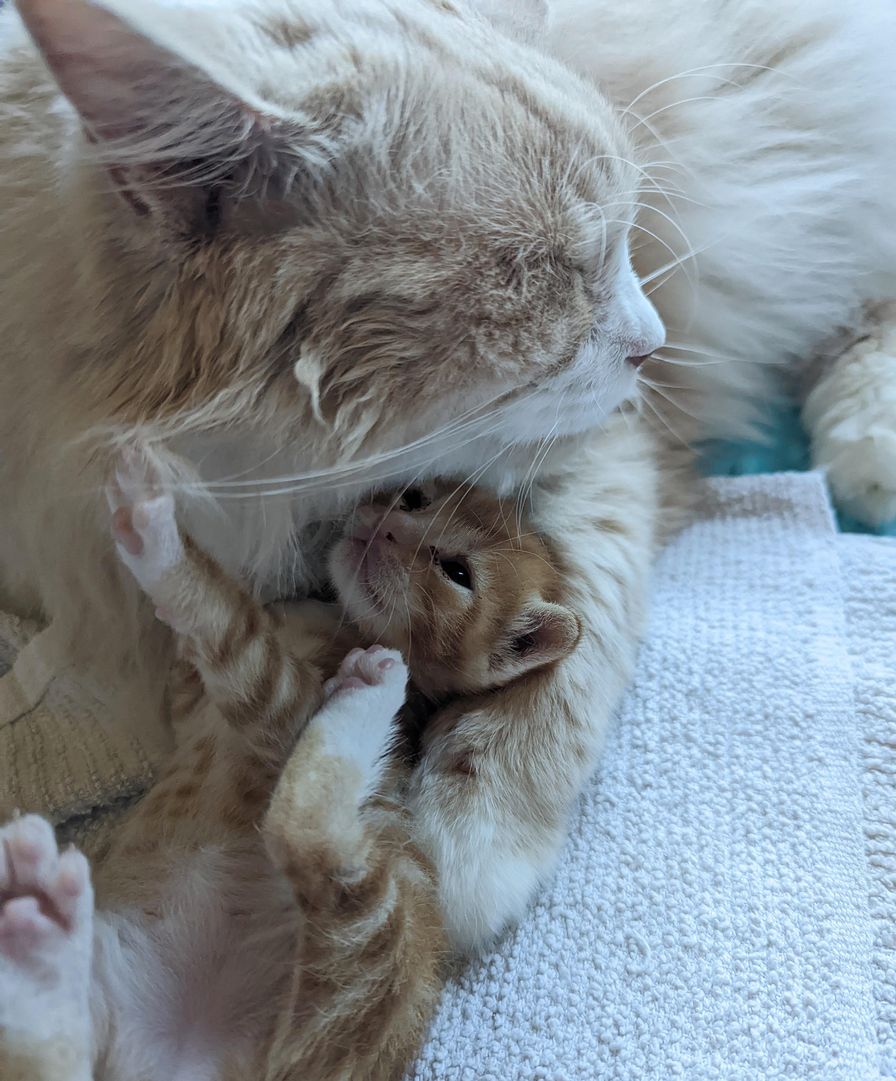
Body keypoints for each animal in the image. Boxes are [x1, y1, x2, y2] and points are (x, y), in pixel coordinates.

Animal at [0, 0, 890, 951]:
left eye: (621, 243)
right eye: (556, 270)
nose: (652, 343)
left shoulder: (605, 438)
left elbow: (576, 619)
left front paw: (472, 830)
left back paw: (867, 446)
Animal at [0, 456, 579, 1081]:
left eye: (456, 571)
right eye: (414, 499)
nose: (388, 529)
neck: (335, 620)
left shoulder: (282, 703)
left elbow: (228, 623)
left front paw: (162, 545)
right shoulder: (191, 698)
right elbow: (194, 648)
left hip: (369, 935)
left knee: (303, 835)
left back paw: (371, 691)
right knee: (53, 1045)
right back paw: (42, 932)